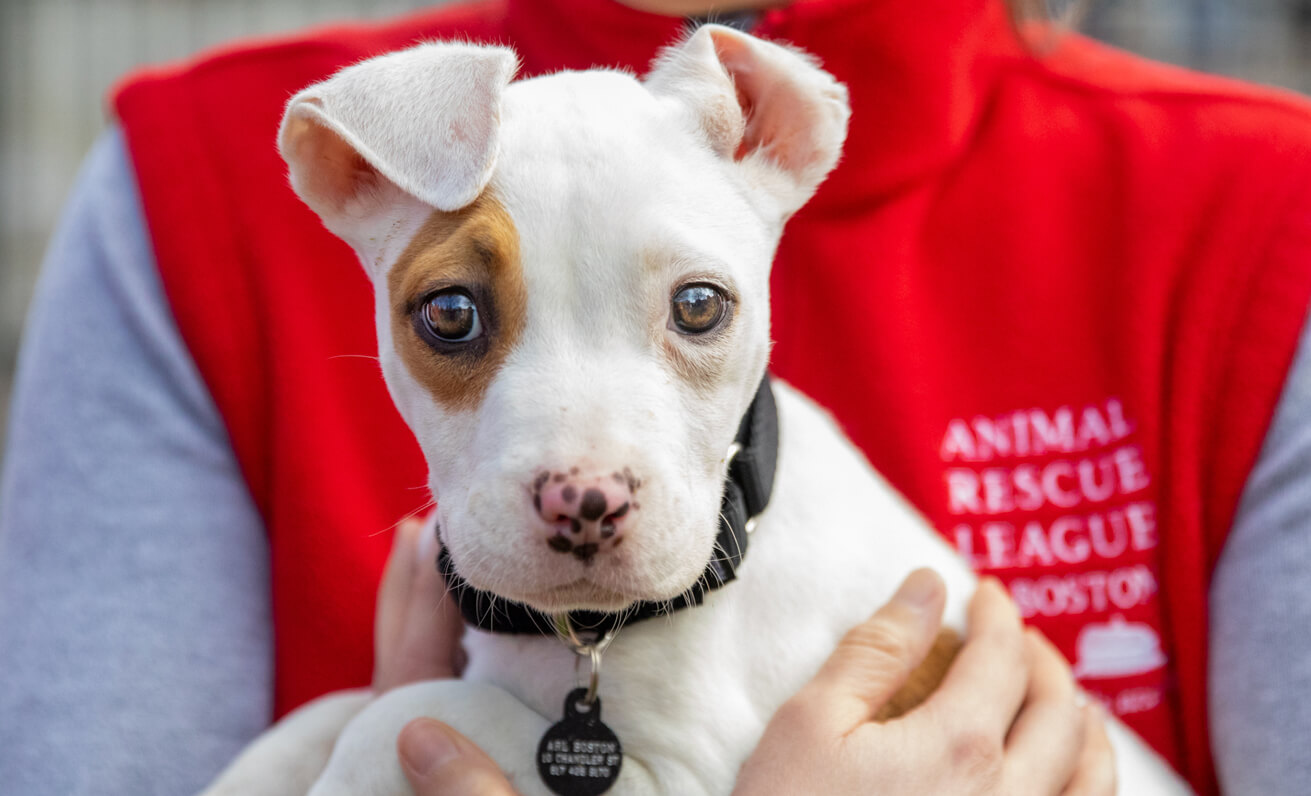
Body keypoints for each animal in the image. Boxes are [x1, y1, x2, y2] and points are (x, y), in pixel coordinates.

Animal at [199, 24, 1195, 796]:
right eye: (448, 314)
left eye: (700, 305)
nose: (584, 503)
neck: (588, 636)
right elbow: (329, 711)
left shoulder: (674, 775)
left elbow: (403, 712)